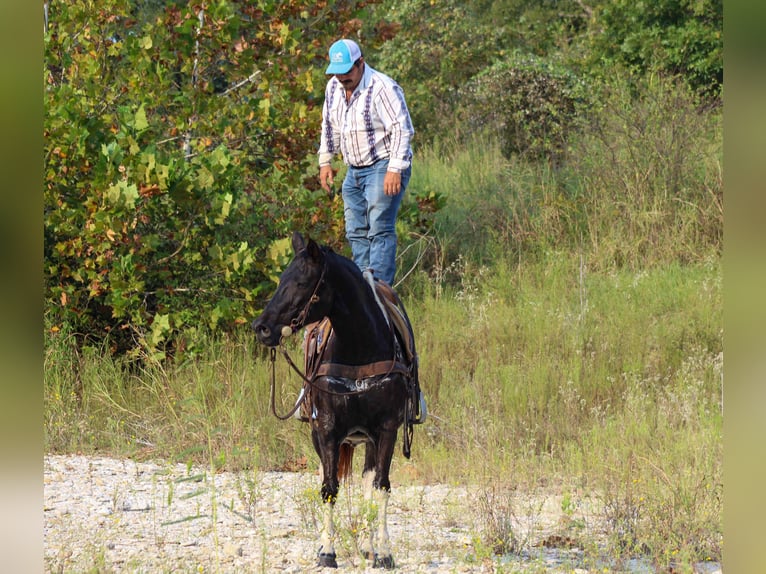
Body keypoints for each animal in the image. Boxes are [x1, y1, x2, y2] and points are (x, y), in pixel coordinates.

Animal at [252, 232, 422, 569]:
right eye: (281, 279)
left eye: (302, 282)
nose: (261, 328)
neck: (360, 349)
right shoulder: (328, 428)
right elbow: (329, 488)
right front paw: (327, 552)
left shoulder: (387, 429)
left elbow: (381, 486)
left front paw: (384, 553)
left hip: (367, 438)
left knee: (369, 479)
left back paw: (369, 546)